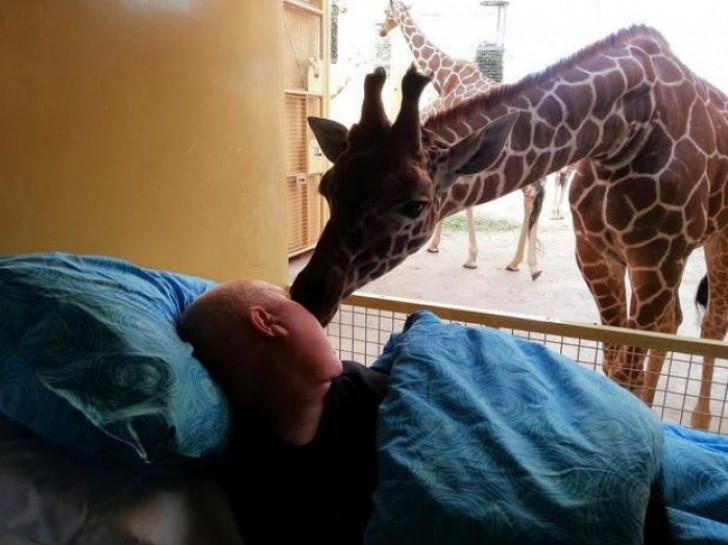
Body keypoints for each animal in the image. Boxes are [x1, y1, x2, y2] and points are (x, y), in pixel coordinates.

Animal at [382, 0, 544, 276]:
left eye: (385, 12)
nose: (381, 30)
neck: (445, 76)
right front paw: (439, 245)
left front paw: (470, 257)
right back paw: (519, 262)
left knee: (533, 194)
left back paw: (527, 263)